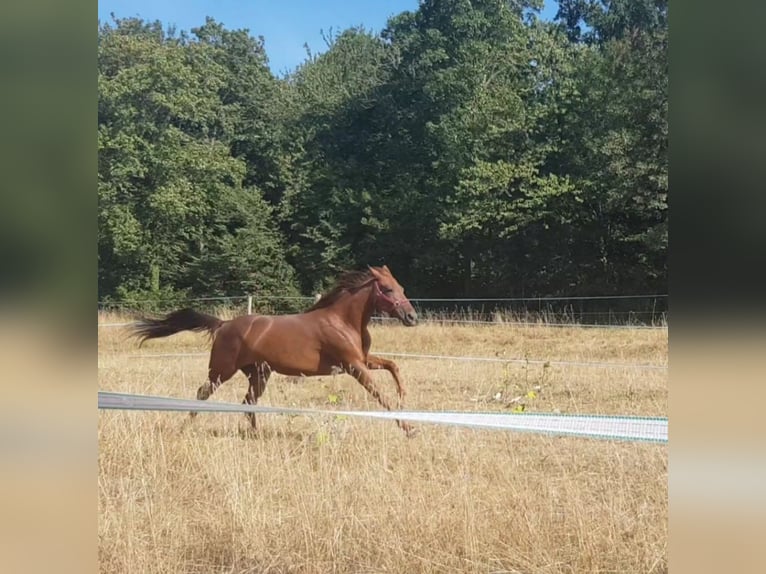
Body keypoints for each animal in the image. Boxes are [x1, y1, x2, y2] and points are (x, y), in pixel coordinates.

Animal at [132, 266, 420, 436]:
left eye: (402, 287)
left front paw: (405, 395)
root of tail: (224, 324)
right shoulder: (353, 366)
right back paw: (185, 425)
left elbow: (393, 366)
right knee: (203, 393)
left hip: (259, 373)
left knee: (248, 402)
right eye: (388, 289)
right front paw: (409, 427)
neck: (343, 321)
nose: (412, 317)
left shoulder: (363, 360)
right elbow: (380, 395)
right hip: (221, 371)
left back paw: (255, 435)